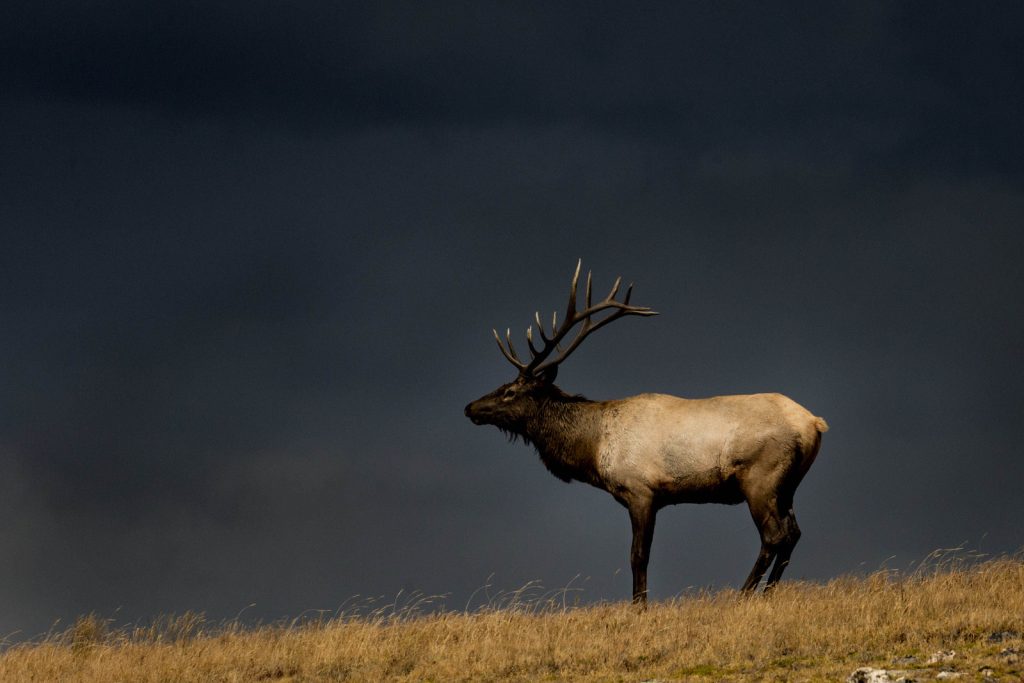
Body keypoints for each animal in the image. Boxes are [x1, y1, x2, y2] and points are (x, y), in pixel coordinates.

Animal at [468, 260, 827, 602]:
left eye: (510, 392)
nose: (470, 407)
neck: (593, 449)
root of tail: (813, 423)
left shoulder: (641, 490)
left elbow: (638, 556)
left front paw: (639, 605)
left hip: (760, 477)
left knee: (774, 536)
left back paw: (744, 594)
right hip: (788, 485)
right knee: (793, 534)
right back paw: (768, 592)